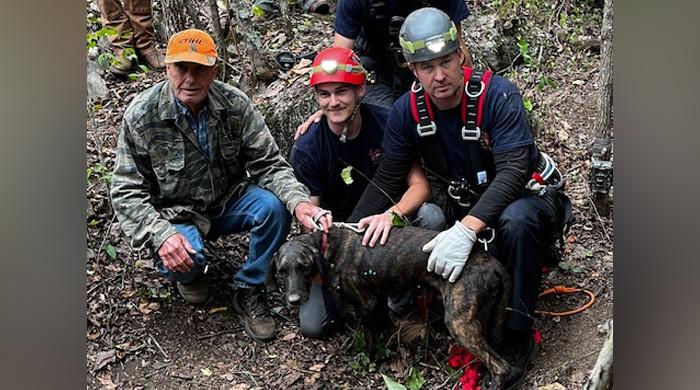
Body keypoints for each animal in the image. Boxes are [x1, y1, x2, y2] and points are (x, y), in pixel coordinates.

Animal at [274, 225, 516, 386]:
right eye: (282, 271)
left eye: (304, 268)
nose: (294, 300)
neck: (327, 245)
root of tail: (494, 264)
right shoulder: (379, 300)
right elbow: (385, 326)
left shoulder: (367, 304)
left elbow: (370, 342)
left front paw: (370, 362)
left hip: (459, 324)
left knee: (501, 367)